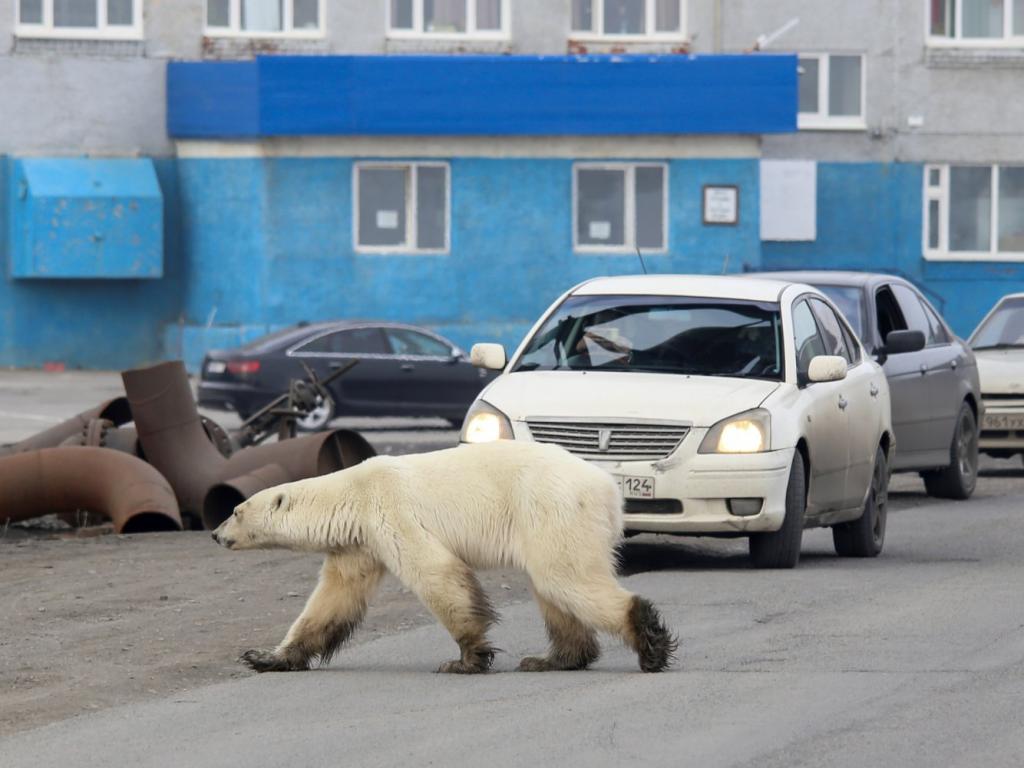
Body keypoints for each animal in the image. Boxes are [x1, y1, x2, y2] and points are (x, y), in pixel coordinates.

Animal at [214, 442, 679, 675]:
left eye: (236, 510)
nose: (216, 534)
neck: (352, 493)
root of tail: (608, 487)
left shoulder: (390, 511)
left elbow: (436, 573)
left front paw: (466, 659)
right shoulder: (358, 544)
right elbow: (332, 599)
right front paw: (266, 657)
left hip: (551, 508)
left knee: (565, 578)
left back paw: (650, 644)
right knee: (553, 589)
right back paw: (552, 659)